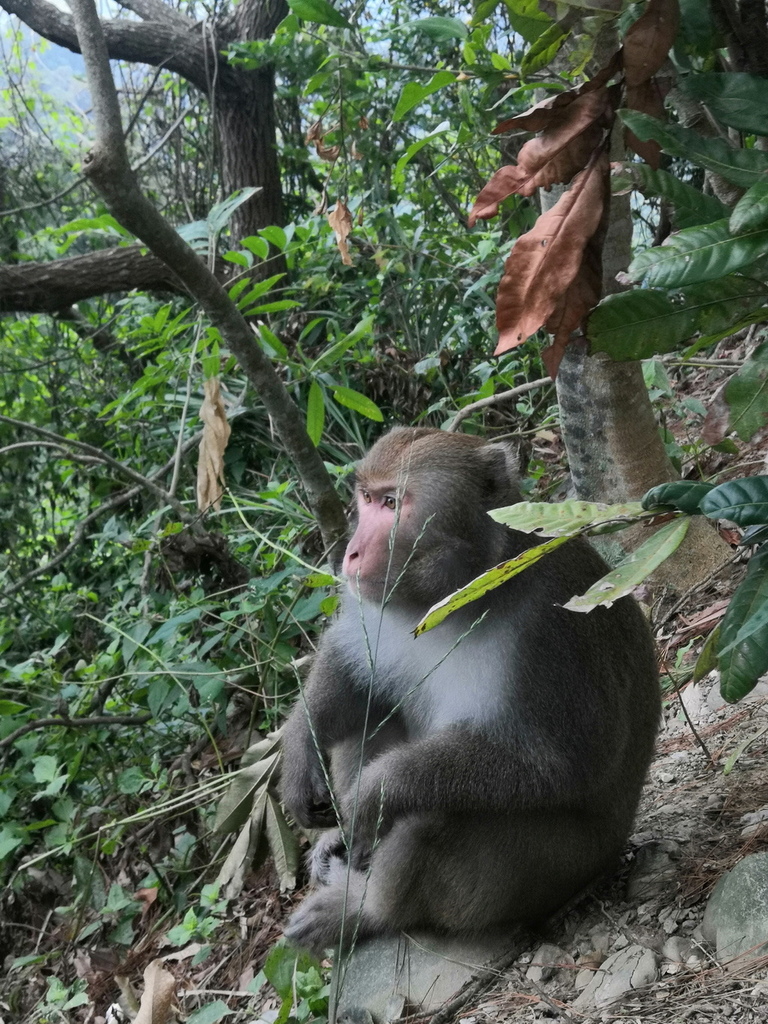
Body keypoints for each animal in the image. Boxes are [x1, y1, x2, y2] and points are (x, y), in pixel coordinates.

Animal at [278, 423, 663, 950]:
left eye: (393, 503)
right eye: (366, 498)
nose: (350, 554)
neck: (458, 592)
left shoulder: (550, 627)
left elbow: (559, 763)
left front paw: (377, 792)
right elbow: (352, 671)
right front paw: (300, 750)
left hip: (549, 872)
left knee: (433, 811)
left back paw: (365, 911)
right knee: (371, 712)